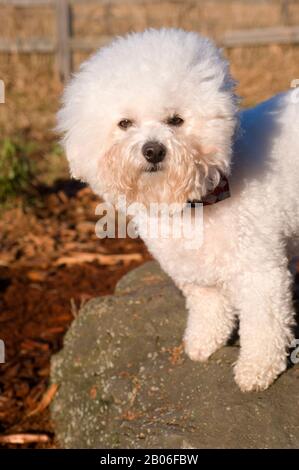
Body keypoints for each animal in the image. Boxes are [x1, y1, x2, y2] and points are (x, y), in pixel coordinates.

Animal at [58, 27, 299, 392]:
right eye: (125, 123)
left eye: (176, 120)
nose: (153, 150)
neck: (197, 199)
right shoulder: (195, 272)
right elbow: (208, 307)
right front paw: (204, 342)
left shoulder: (261, 271)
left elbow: (264, 324)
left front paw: (257, 369)